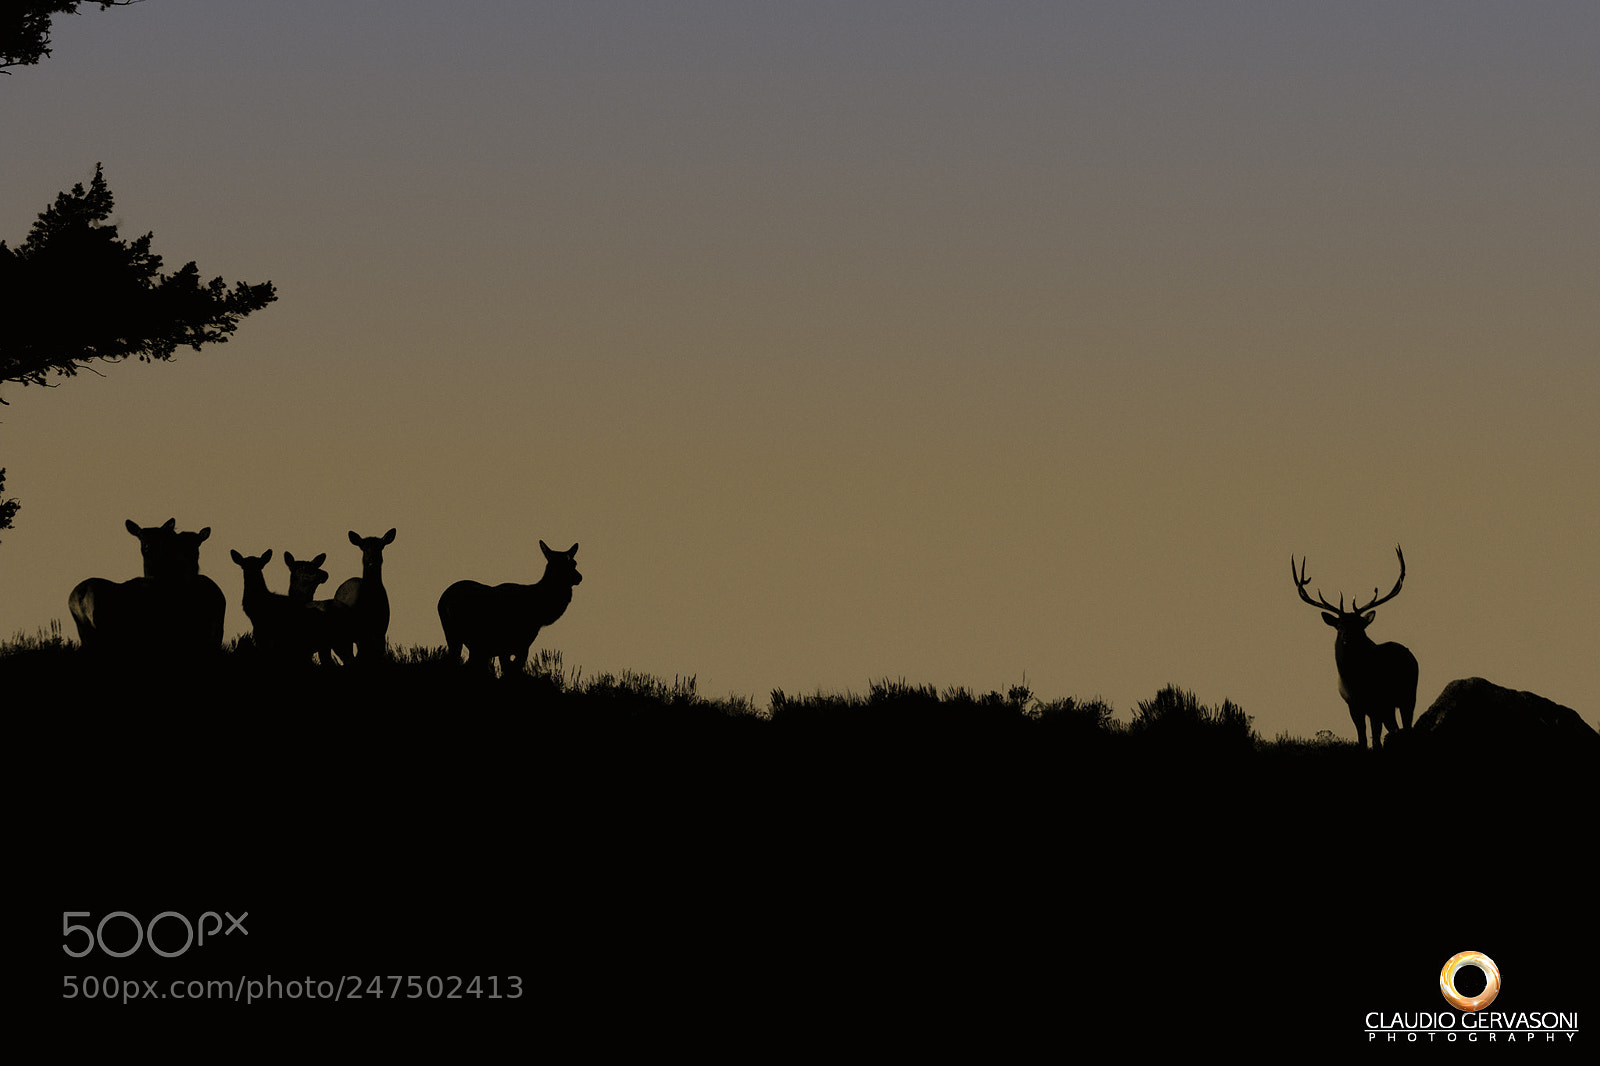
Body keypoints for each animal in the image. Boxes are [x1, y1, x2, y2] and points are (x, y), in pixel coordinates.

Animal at [437, 541, 582, 678]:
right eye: (557, 564)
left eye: (574, 563)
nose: (579, 577)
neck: (539, 614)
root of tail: (443, 601)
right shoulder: (505, 645)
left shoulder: (520, 645)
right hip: (457, 634)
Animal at [1291, 545, 1419, 751]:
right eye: (1339, 626)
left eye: (1359, 625)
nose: (1347, 638)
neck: (1357, 682)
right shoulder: (1353, 705)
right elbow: (1362, 738)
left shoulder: (1377, 702)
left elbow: (1375, 739)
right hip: (1391, 706)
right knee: (1395, 727)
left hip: (1408, 695)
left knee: (1406, 725)